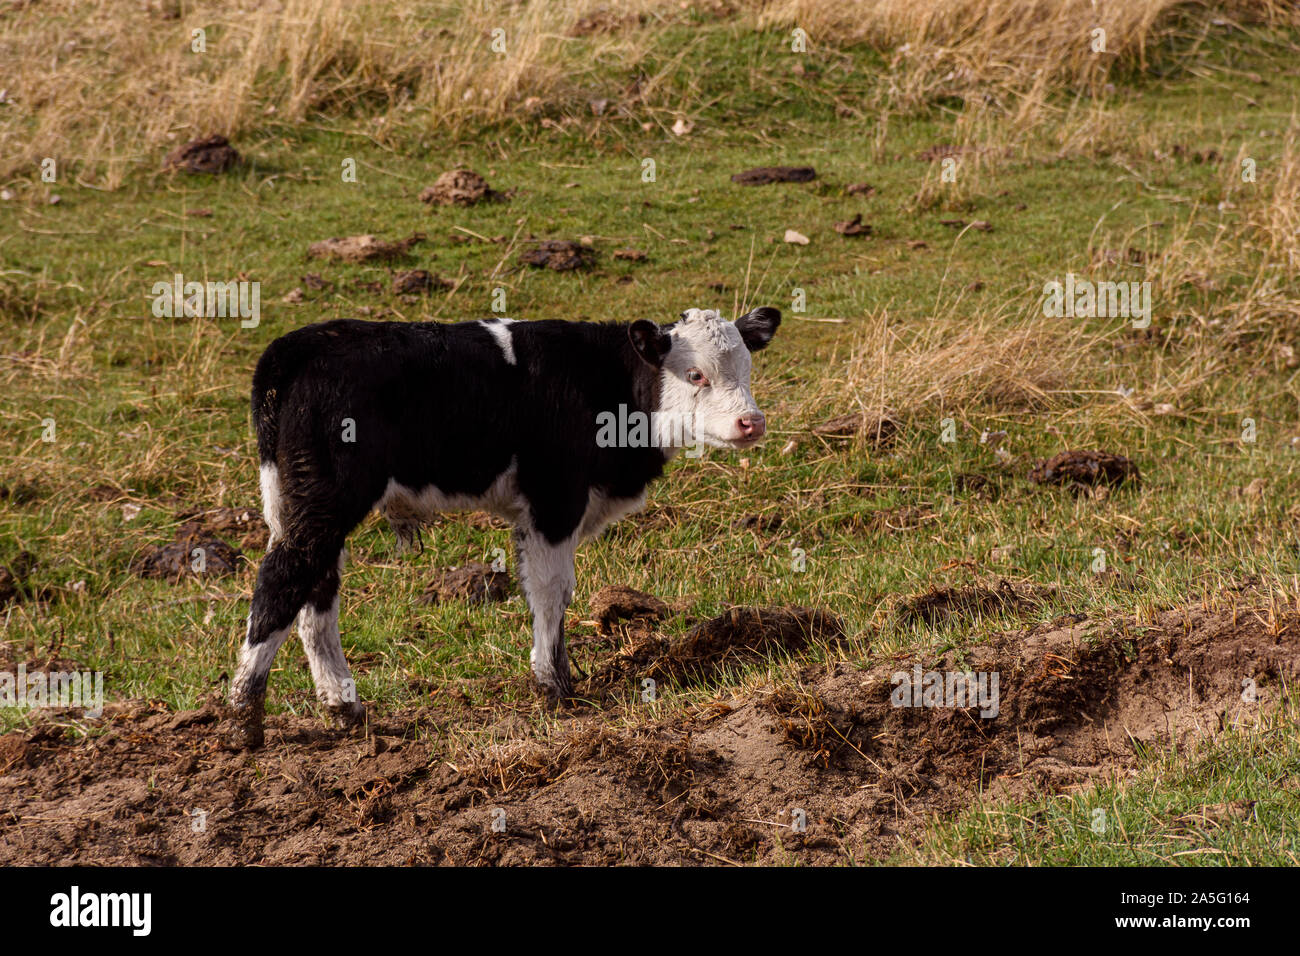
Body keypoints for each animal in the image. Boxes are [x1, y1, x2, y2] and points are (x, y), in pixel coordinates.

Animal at [227, 306, 781, 748]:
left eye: (748, 369)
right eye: (695, 374)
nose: (751, 422)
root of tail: (298, 344)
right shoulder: (554, 501)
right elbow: (552, 590)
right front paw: (555, 687)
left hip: (299, 506)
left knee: (315, 597)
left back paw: (344, 707)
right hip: (325, 502)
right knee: (281, 582)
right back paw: (242, 719)